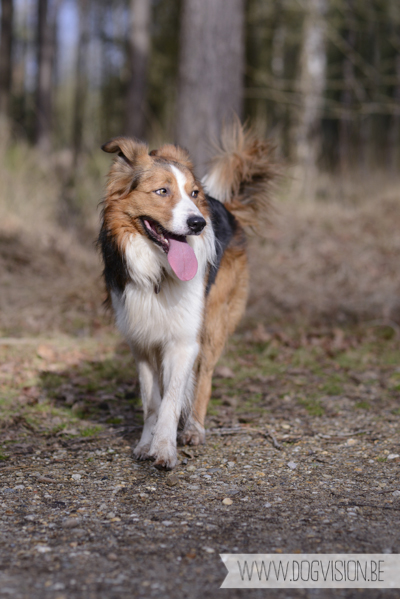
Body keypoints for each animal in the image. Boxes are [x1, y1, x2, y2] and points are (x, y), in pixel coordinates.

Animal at [100, 122, 276, 468]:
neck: (159, 270)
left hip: (213, 322)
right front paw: (146, 443)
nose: (198, 223)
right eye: (162, 191)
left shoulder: (183, 340)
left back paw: (194, 429)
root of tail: (224, 206)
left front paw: (164, 449)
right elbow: (152, 401)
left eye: (194, 193)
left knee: (204, 378)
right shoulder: (142, 341)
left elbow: (171, 399)